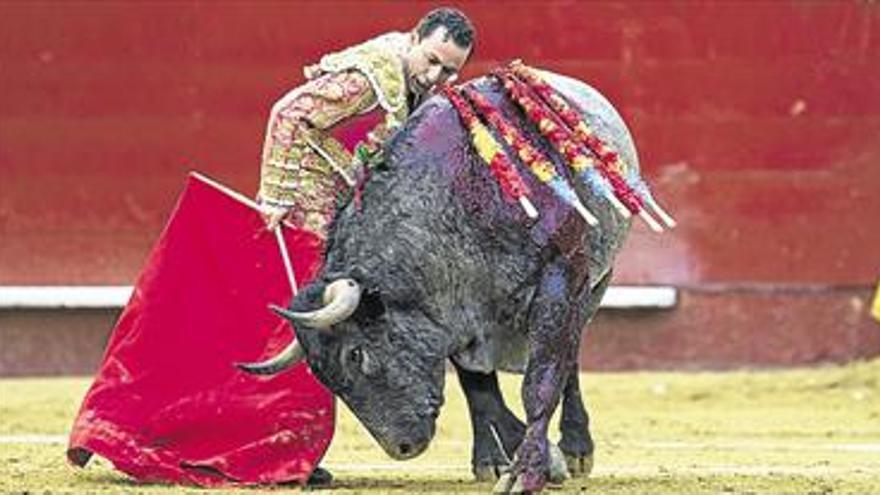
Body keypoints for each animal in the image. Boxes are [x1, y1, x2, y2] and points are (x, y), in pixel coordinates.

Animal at [242, 71, 640, 494]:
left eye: (355, 354)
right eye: (321, 375)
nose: (402, 447)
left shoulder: (562, 281)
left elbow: (542, 381)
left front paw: (528, 471)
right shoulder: (456, 313)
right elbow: (481, 391)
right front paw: (528, 460)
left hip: (596, 285)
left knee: (570, 359)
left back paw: (577, 446)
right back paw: (491, 458)